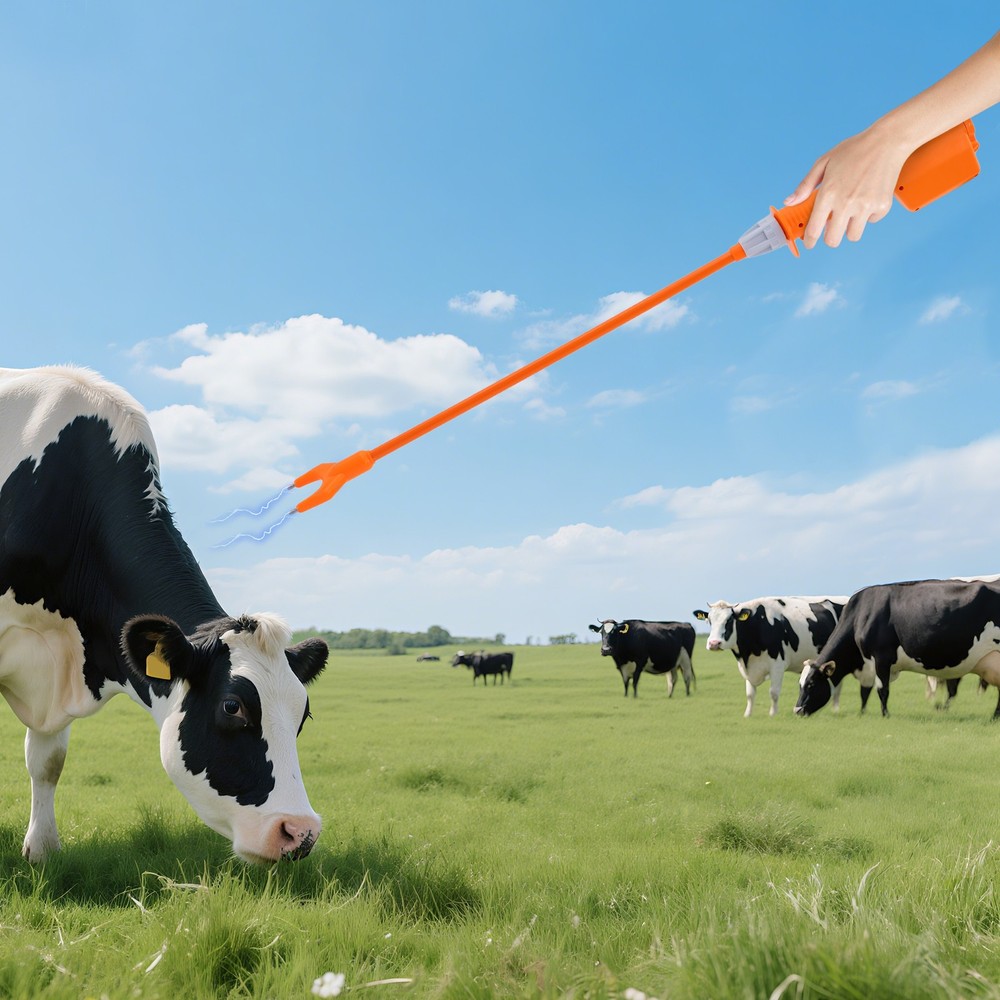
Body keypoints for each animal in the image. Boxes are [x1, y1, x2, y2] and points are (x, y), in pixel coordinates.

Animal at [692, 596, 848, 717]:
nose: (713, 643)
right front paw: (747, 715)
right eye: (709, 621)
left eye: (729, 621)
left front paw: (773, 714)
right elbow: (750, 694)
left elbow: (773, 692)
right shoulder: (749, 667)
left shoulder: (777, 665)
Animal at [795, 577, 1000, 718]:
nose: (797, 710)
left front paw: (885, 715)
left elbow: (882, 690)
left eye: (811, 684)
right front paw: (862, 713)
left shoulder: (881, 657)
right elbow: (865, 692)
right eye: (800, 684)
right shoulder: (868, 666)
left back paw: (993, 716)